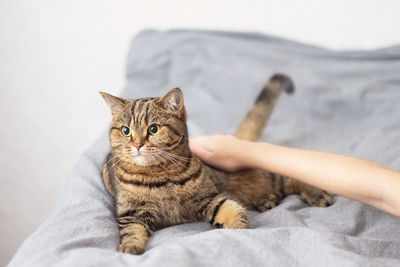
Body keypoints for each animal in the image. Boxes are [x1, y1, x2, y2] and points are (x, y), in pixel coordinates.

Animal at [101, 75, 332, 255]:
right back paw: (268, 199)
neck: (159, 176)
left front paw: (234, 227)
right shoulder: (131, 213)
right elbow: (131, 232)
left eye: (154, 129)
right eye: (126, 131)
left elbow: (233, 211)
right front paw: (129, 248)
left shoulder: (210, 197)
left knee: (292, 177)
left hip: (266, 170)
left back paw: (316, 194)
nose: (137, 144)